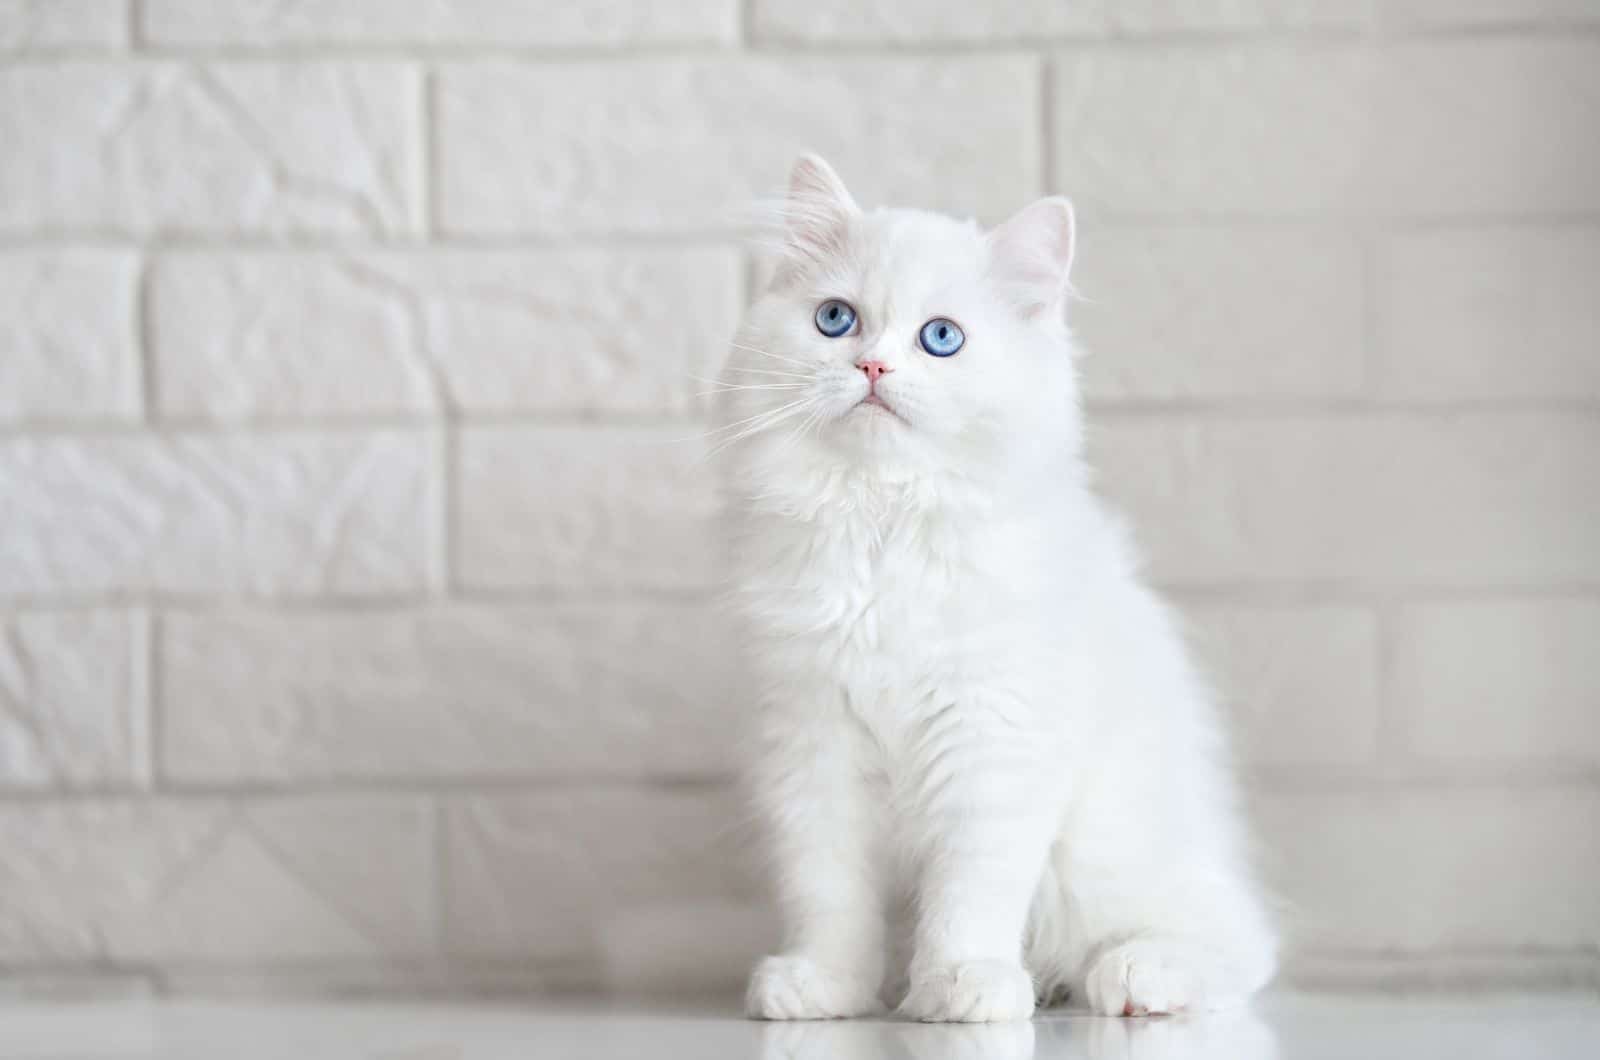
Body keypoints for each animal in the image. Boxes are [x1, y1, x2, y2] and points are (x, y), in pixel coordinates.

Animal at [723, 153, 1273, 1024]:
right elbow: (829, 898)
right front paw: (825, 987)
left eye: (940, 339)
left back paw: (1135, 977)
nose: (871, 367)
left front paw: (962, 986)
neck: (883, 520)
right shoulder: (813, 750)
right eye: (835, 320)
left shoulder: (992, 739)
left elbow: (968, 893)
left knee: (1239, 944)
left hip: (1110, 861)